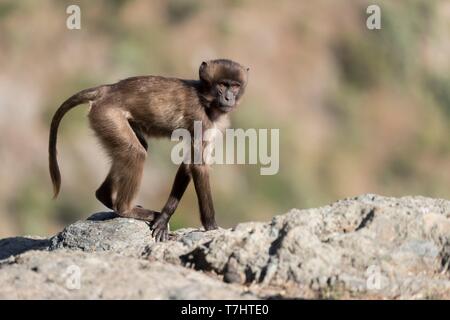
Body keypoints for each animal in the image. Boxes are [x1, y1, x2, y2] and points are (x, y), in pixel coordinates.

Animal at [49, 58, 250, 241]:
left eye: (235, 86)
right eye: (222, 85)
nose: (228, 98)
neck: (205, 99)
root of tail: (108, 89)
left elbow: (187, 164)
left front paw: (163, 218)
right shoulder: (200, 118)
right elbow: (198, 166)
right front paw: (211, 226)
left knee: (134, 150)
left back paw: (105, 196)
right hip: (107, 115)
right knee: (134, 152)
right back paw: (125, 209)